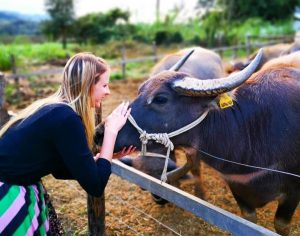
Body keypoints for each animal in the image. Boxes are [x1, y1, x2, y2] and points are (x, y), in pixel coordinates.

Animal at [97, 47, 300, 235]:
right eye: (139, 91)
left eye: (161, 99)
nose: (100, 133)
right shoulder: (238, 190)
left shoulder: (291, 194)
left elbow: (281, 225)